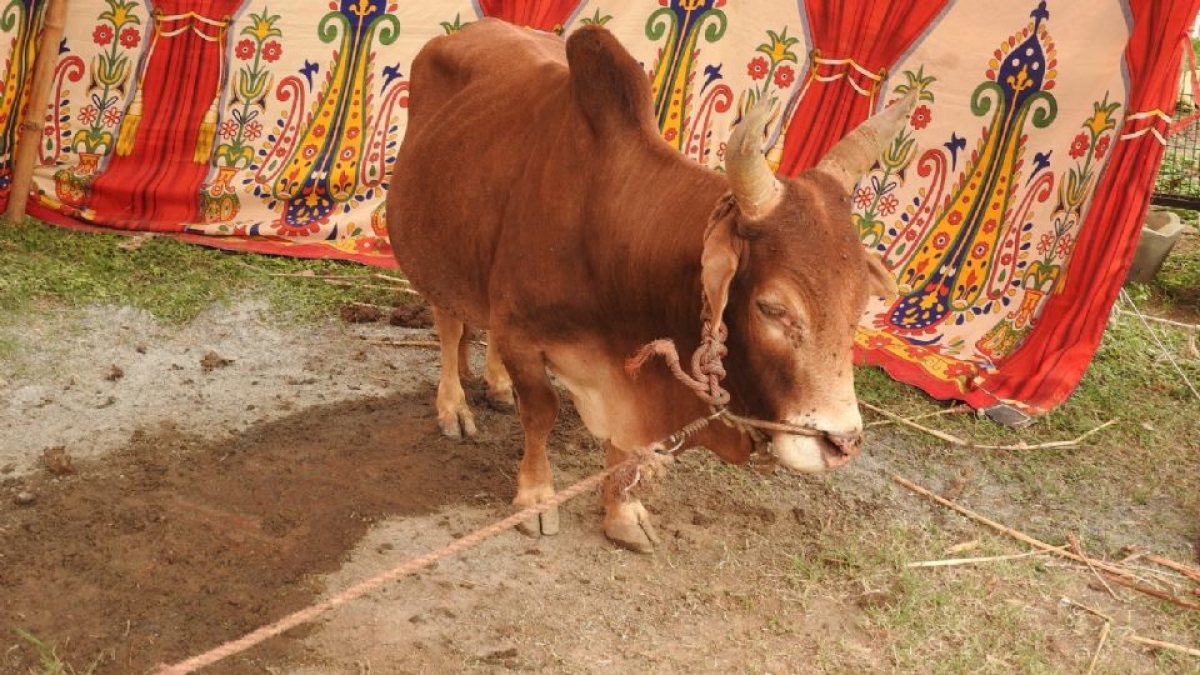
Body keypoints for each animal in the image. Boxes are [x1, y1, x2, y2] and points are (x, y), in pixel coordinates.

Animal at [387, 19, 906, 552]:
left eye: (860, 306)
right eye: (772, 308)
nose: (842, 444)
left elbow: (626, 445)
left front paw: (622, 511)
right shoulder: (521, 336)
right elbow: (542, 412)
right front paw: (535, 496)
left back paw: (496, 384)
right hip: (434, 253)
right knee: (449, 327)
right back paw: (453, 408)